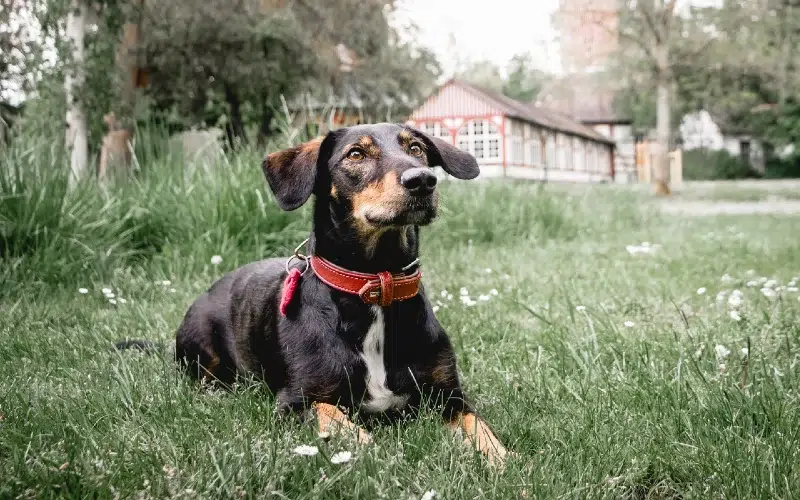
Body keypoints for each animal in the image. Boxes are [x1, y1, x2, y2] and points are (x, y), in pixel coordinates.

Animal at [166, 123, 510, 466]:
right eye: (355, 154)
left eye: (416, 148)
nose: (423, 180)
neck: (376, 285)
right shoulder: (297, 401)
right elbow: (337, 420)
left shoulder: (449, 395)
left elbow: (479, 428)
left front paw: (501, 459)